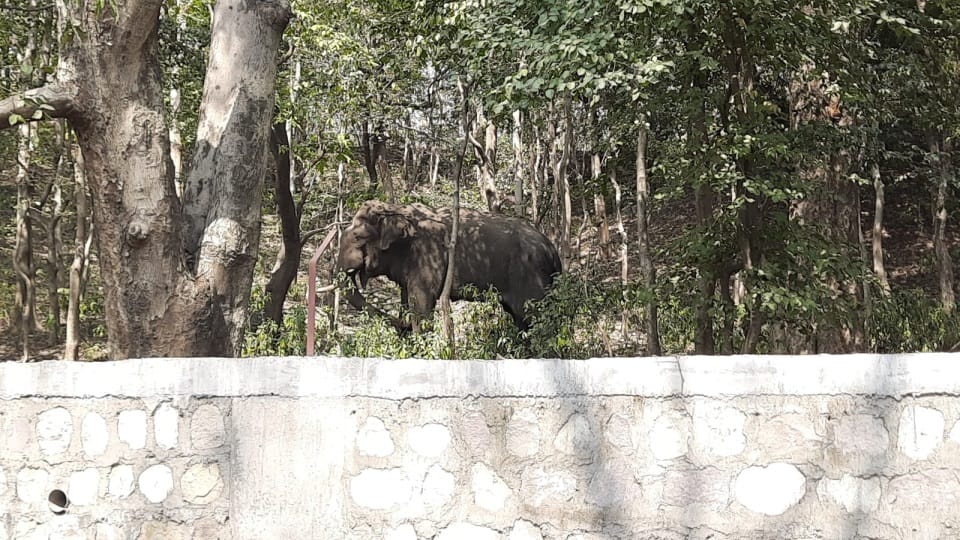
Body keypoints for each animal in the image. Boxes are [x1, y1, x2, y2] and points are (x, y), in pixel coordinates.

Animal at [337, 200, 562, 332]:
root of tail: (553, 250)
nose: (402, 327)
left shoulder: (429, 254)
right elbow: (407, 299)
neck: (398, 209)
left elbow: (421, 303)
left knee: (533, 317)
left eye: (358, 237)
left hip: (530, 277)